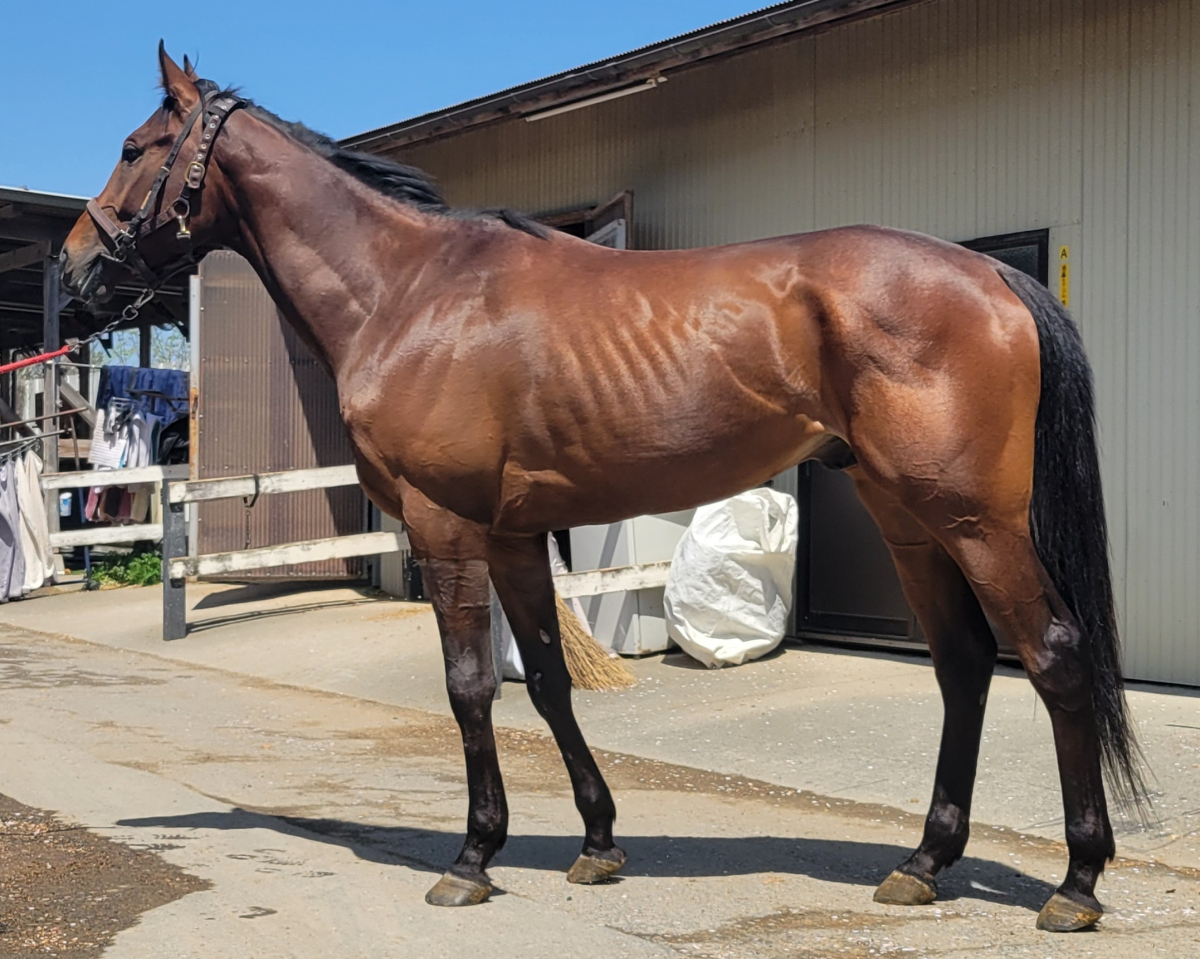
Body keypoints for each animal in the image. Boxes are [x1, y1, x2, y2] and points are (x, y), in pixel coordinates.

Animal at [61, 46, 1148, 932]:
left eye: (133, 147)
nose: (75, 270)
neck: (410, 292)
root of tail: (991, 277)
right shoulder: (511, 535)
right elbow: (545, 680)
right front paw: (595, 842)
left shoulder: (445, 527)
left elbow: (468, 687)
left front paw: (472, 857)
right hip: (909, 519)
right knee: (964, 665)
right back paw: (924, 862)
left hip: (976, 521)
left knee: (1053, 655)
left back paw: (1076, 882)